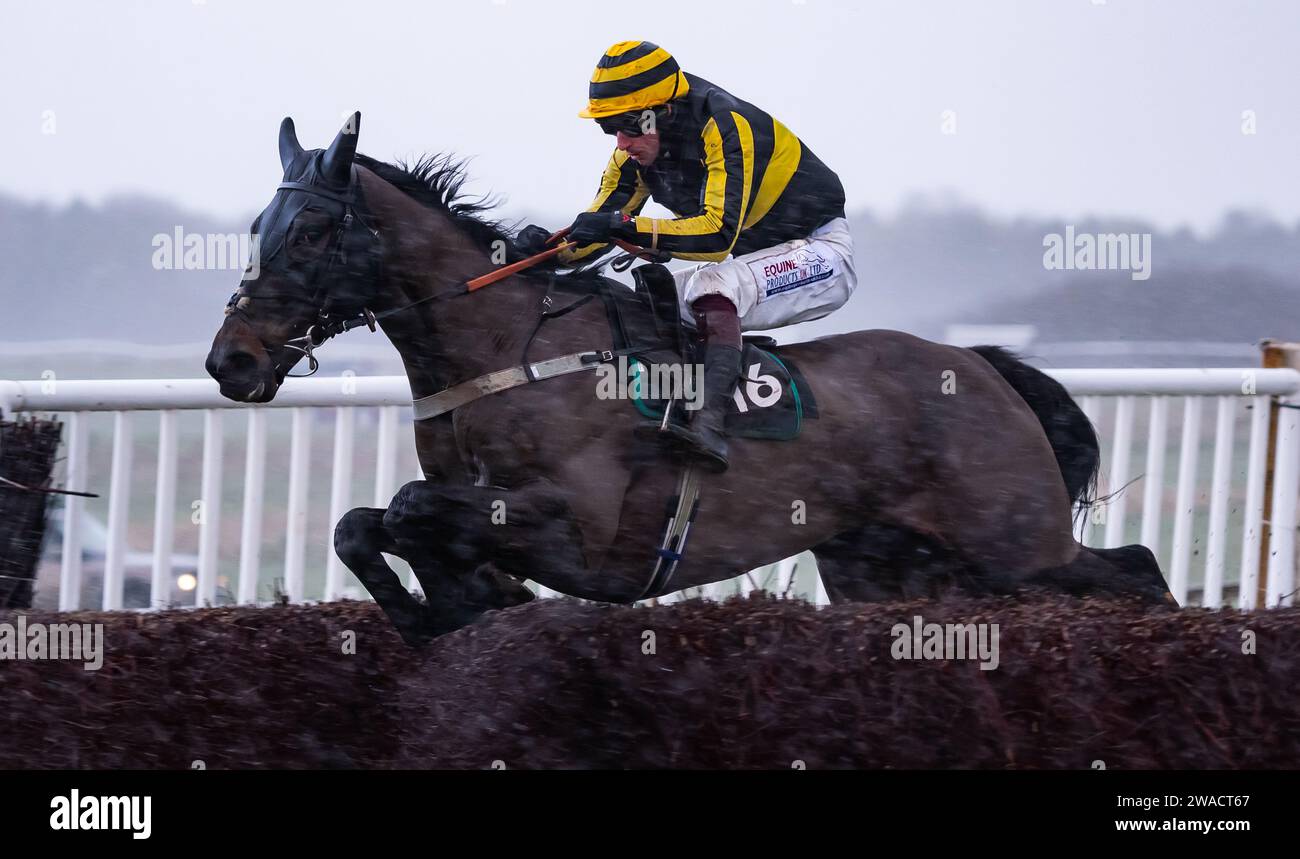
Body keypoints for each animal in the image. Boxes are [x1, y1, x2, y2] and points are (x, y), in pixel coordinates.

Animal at [205, 113, 1180, 644]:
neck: (505, 346)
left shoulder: (582, 529)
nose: (231, 360)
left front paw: (465, 597)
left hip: (1015, 544)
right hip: (887, 566)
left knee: (1134, 567)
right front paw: (449, 603)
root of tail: (982, 367)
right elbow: (360, 524)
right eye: (259, 226)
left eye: (314, 233)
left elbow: (407, 510)